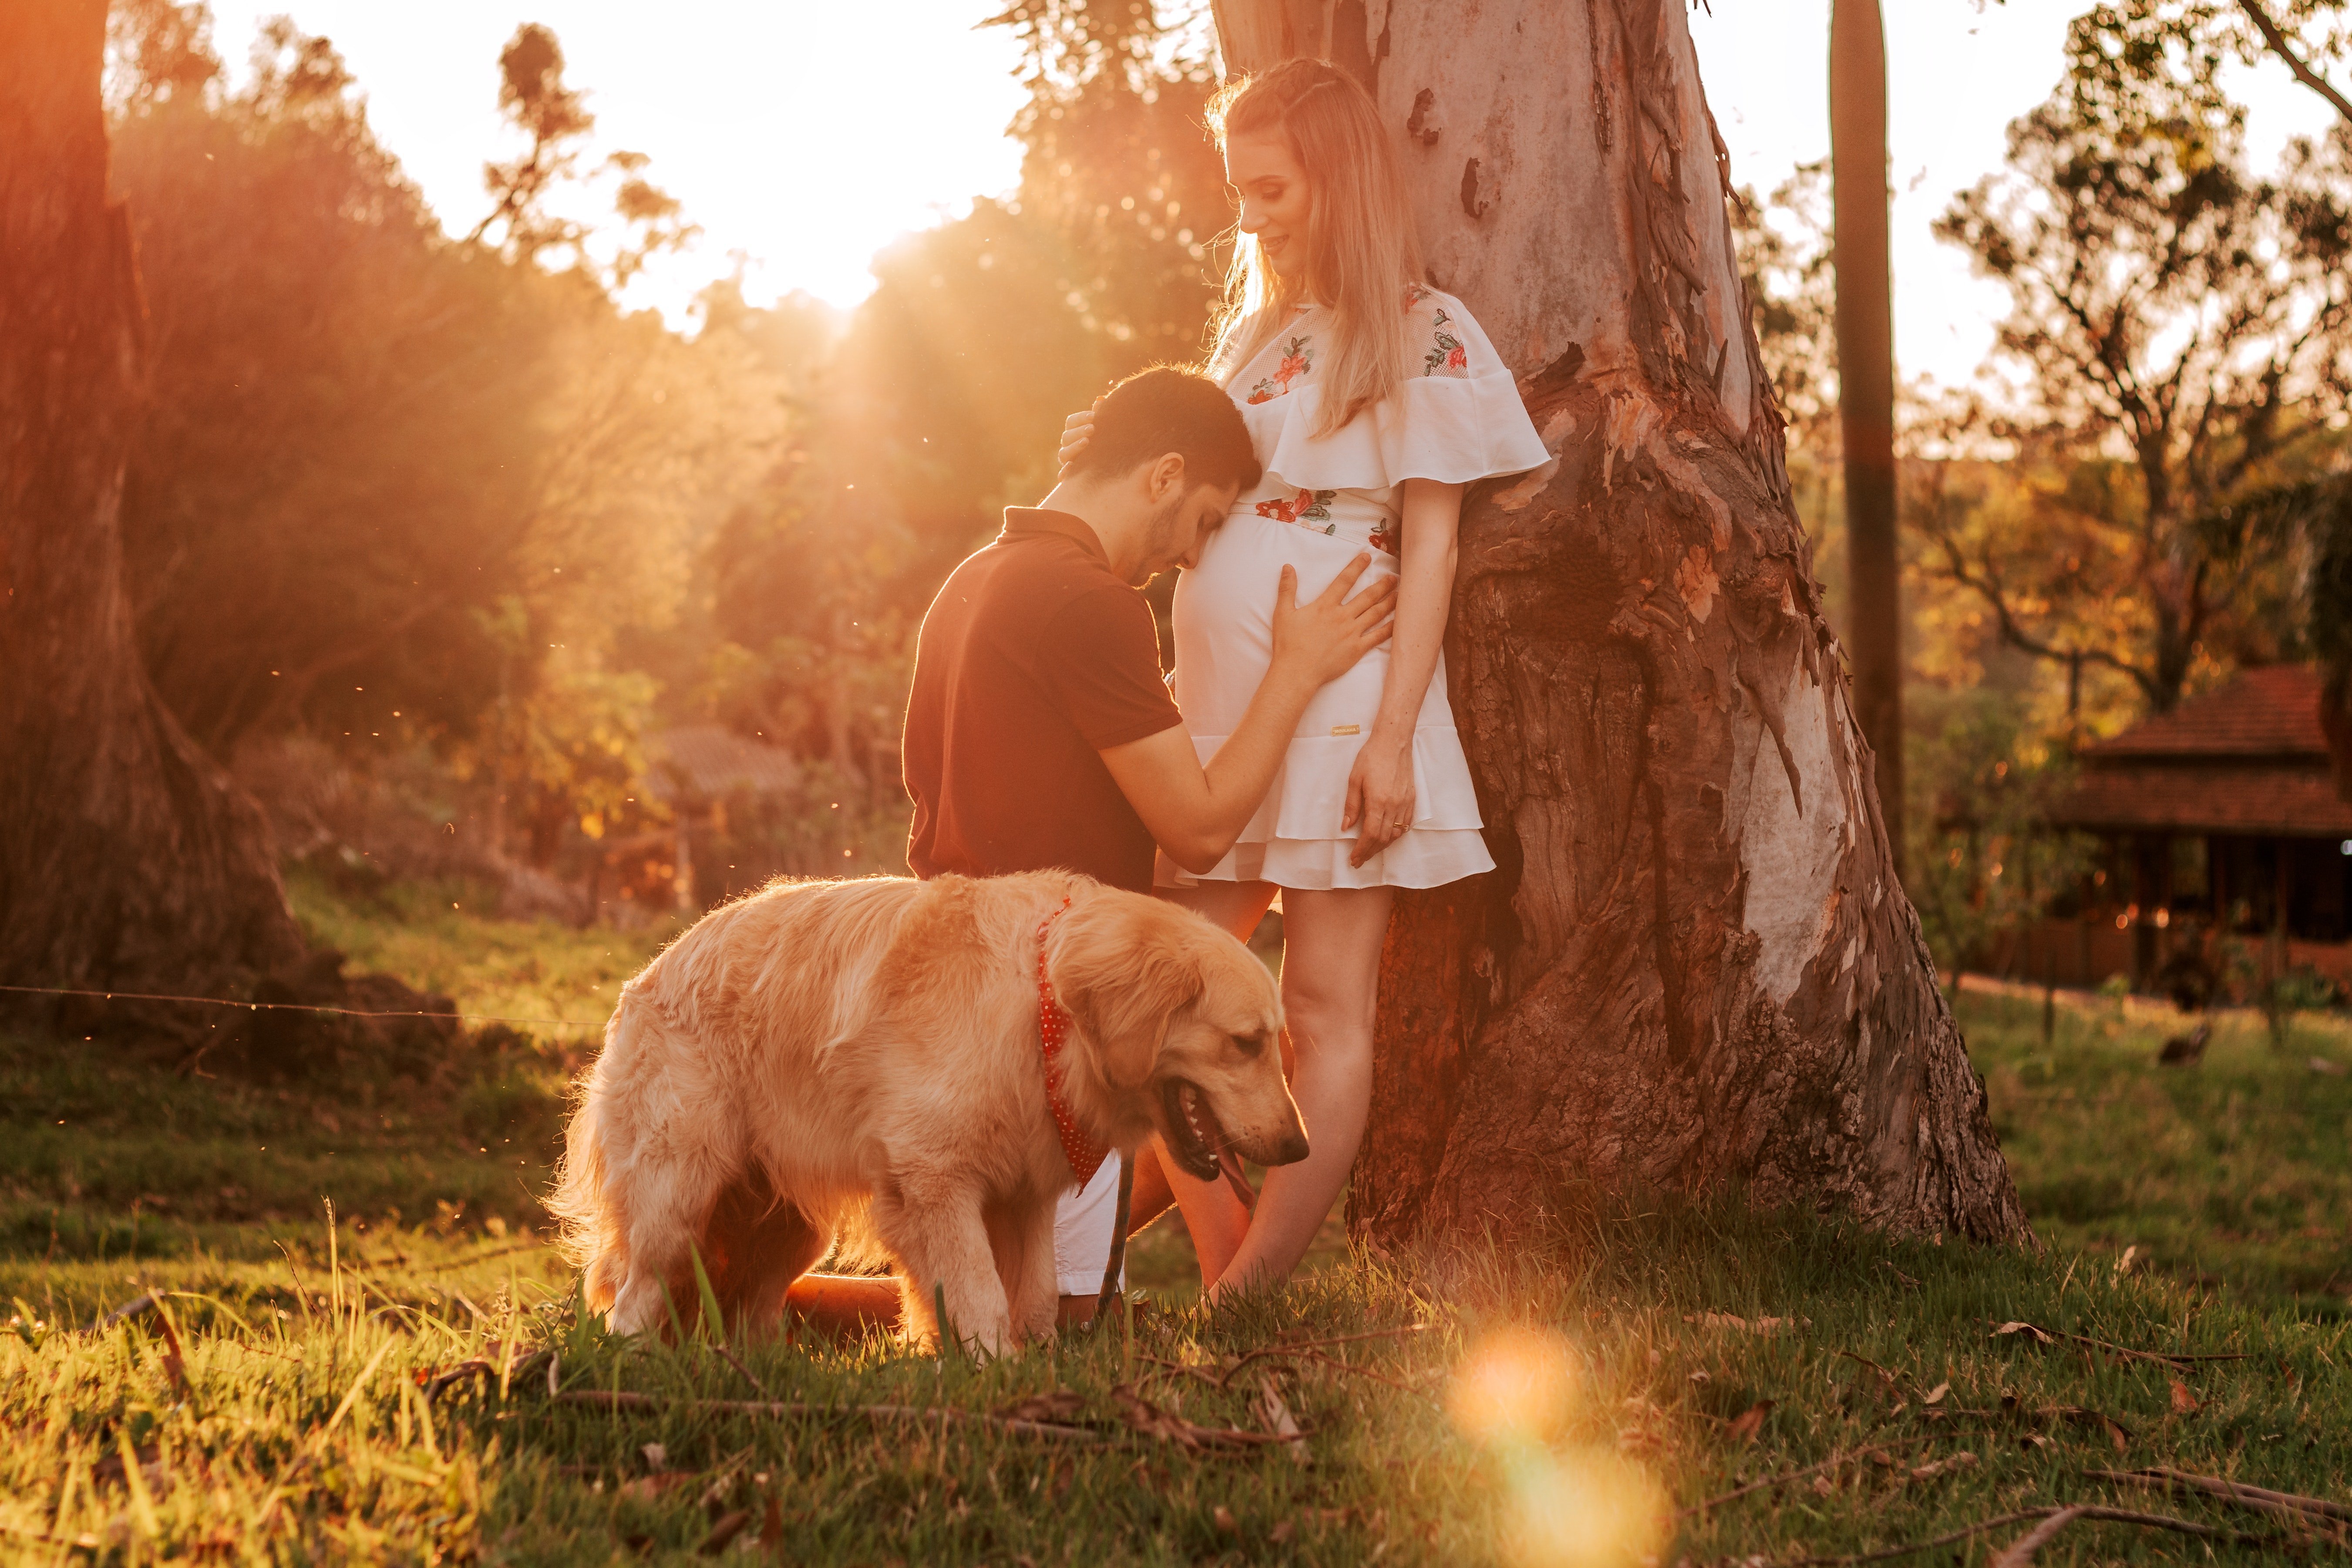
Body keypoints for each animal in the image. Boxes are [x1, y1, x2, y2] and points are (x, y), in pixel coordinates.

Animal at [550, 865, 1308, 1354]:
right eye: (1244, 1042)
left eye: (1273, 1043)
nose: (1299, 1149)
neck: (1042, 1006)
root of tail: (646, 974)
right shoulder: (932, 1183)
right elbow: (979, 1293)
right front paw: (991, 1371)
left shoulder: (1023, 1194)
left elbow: (1033, 1292)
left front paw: (1030, 1365)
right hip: (677, 1194)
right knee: (634, 1296)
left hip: (787, 1226)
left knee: (751, 1307)